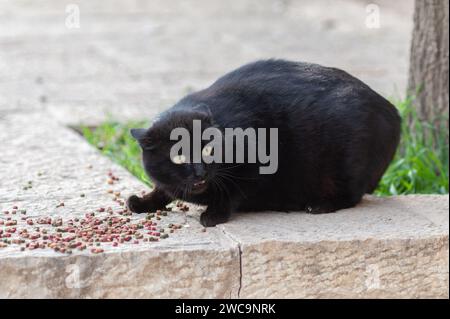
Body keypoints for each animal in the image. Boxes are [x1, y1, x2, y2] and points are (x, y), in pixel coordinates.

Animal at [126, 58, 400, 226]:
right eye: (179, 155)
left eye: (208, 149)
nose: (200, 172)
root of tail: (392, 110)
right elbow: (162, 189)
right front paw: (144, 202)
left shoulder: (257, 163)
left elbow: (232, 192)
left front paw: (214, 213)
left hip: (345, 165)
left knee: (352, 195)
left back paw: (321, 205)